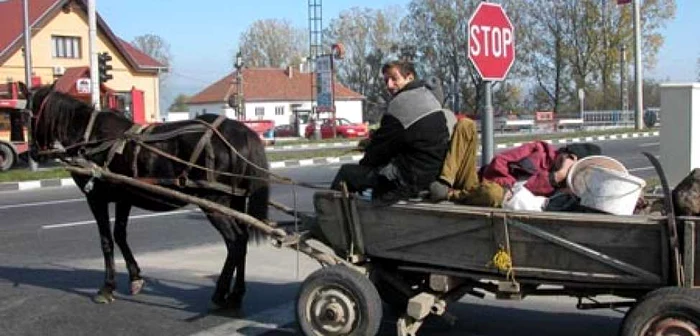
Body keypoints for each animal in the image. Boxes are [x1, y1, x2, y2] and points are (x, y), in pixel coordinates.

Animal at [23, 82, 270, 308]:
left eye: (26, 115)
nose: (33, 153)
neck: (92, 137)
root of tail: (240, 132)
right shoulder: (124, 198)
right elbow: (120, 234)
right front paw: (135, 278)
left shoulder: (95, 198)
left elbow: (106, 240)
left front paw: (107, 287)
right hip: (236, 199)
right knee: (243, 240)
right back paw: (237, 294)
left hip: (214, 201)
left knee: (234, 241)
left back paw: (220, 293)